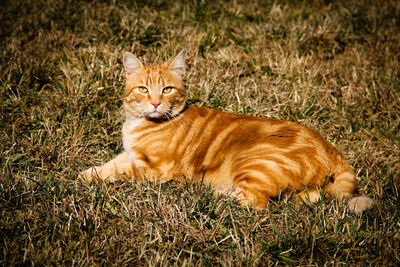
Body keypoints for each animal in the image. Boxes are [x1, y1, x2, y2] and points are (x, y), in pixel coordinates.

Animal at [80, 49, 376, 214]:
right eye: (143, 89)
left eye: (167, 89)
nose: (155, 102)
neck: (141, 123)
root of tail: (333, 151)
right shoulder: (130, 154)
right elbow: (110, 164)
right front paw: (87, 173)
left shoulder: (154, 169)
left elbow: (122, 172)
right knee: (307, 198)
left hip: (254, 162)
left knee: (257, 201)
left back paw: (207, 192)